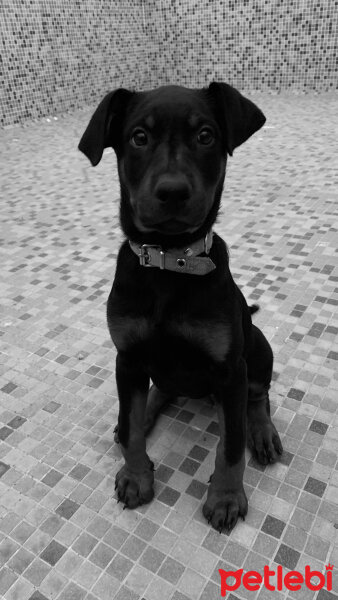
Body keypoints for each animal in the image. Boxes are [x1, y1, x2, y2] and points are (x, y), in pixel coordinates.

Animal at [79, 82, 282, 532]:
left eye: (205, 136)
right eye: (138, 137)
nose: (172, 191)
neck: (170, 262)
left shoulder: (230, 369)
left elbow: (231, 444)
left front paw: (226, 497)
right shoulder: (127, 357)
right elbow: (132, 428)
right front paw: (135, 476)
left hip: (257, 348)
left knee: (257, 397)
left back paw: (262, 433)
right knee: (153, 395)